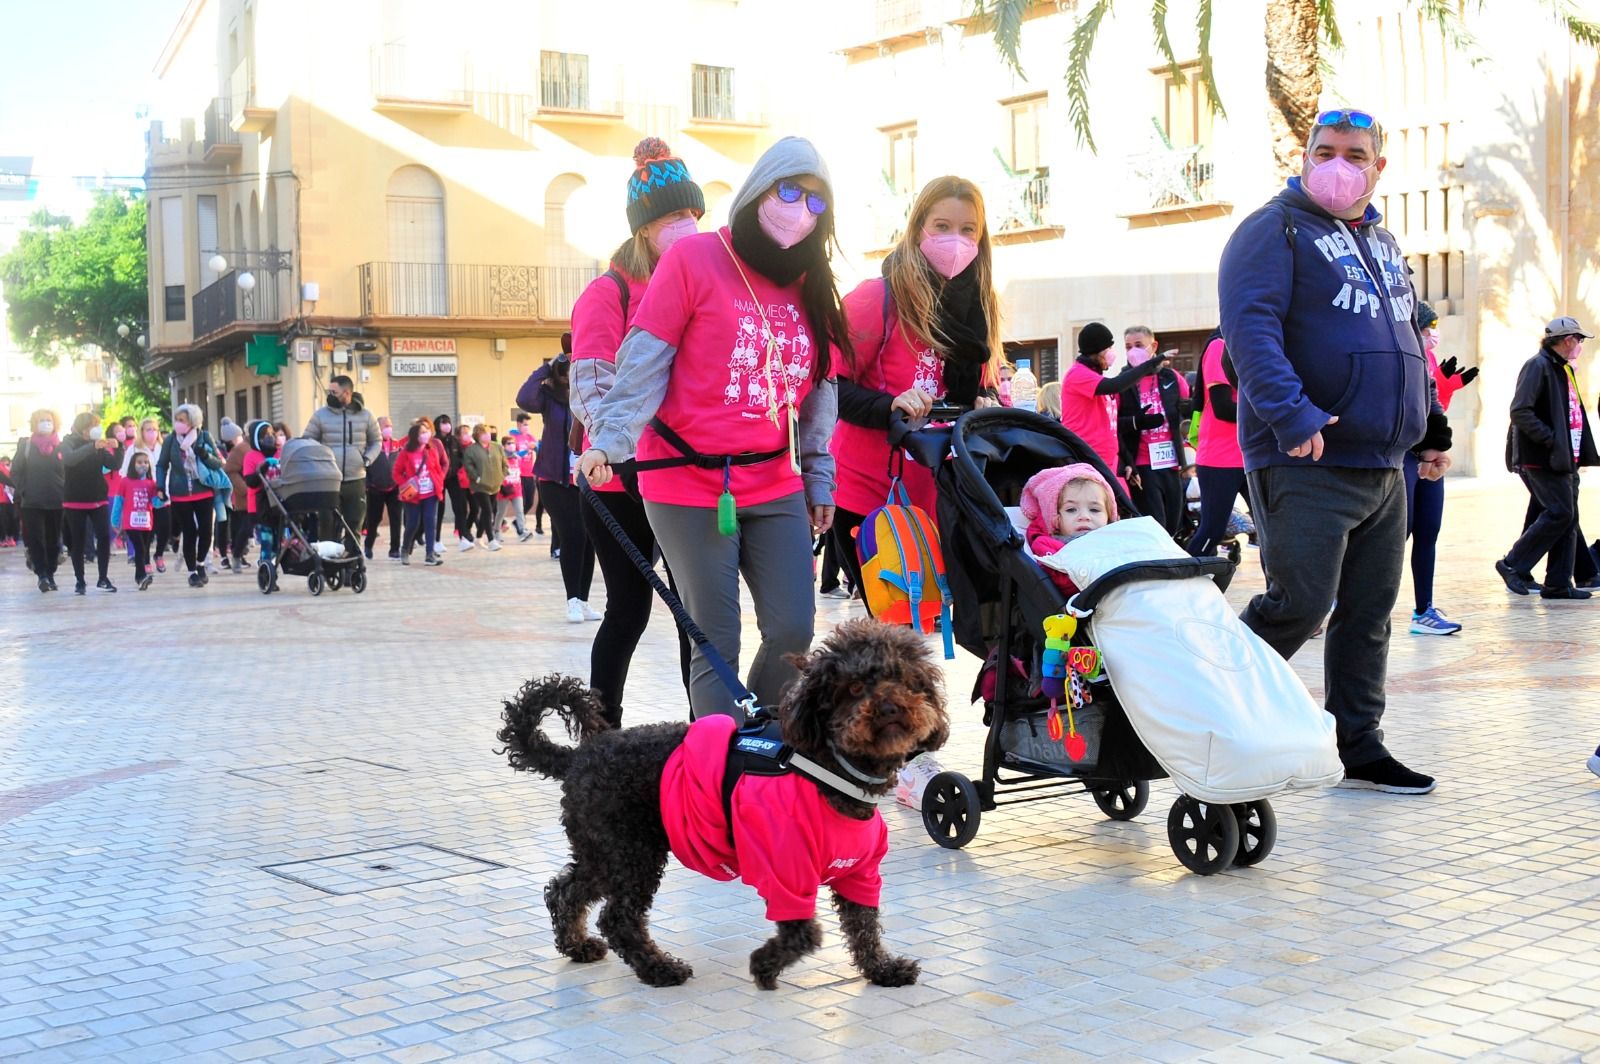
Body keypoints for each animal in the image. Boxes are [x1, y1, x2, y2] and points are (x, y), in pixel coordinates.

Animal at [496, 617, 947, 992]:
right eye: (853, 688)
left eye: (906, 680)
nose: (890, 707)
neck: (829, 770)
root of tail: (578, 756)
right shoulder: (785, 869)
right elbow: (806, 931)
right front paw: (765, 966)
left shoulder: (860, 873)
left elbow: (864, 926)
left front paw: (883, 970)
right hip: (632, 851)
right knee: (617, 918)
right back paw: (659, 969)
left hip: (604, 849)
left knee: (565, 891)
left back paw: (577, 946)